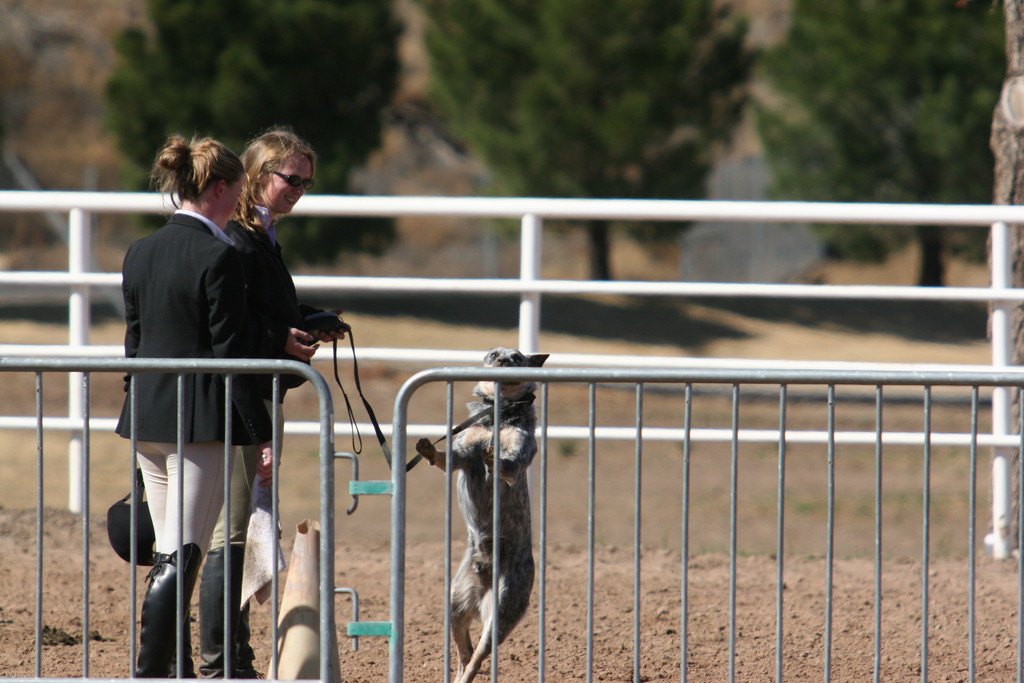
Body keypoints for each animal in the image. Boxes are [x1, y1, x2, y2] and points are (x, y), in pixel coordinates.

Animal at [413, 348, 548, 683]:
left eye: (517, 357)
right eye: (492, 354)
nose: (502, 360)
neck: (497, 417)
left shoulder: (518, 455)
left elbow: (506, 462)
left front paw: (493, 456)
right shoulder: (462, 456)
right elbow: (446, 456)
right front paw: (428, 449)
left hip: (500, 612)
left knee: (477, 658)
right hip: (454, 606)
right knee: (464, 653)